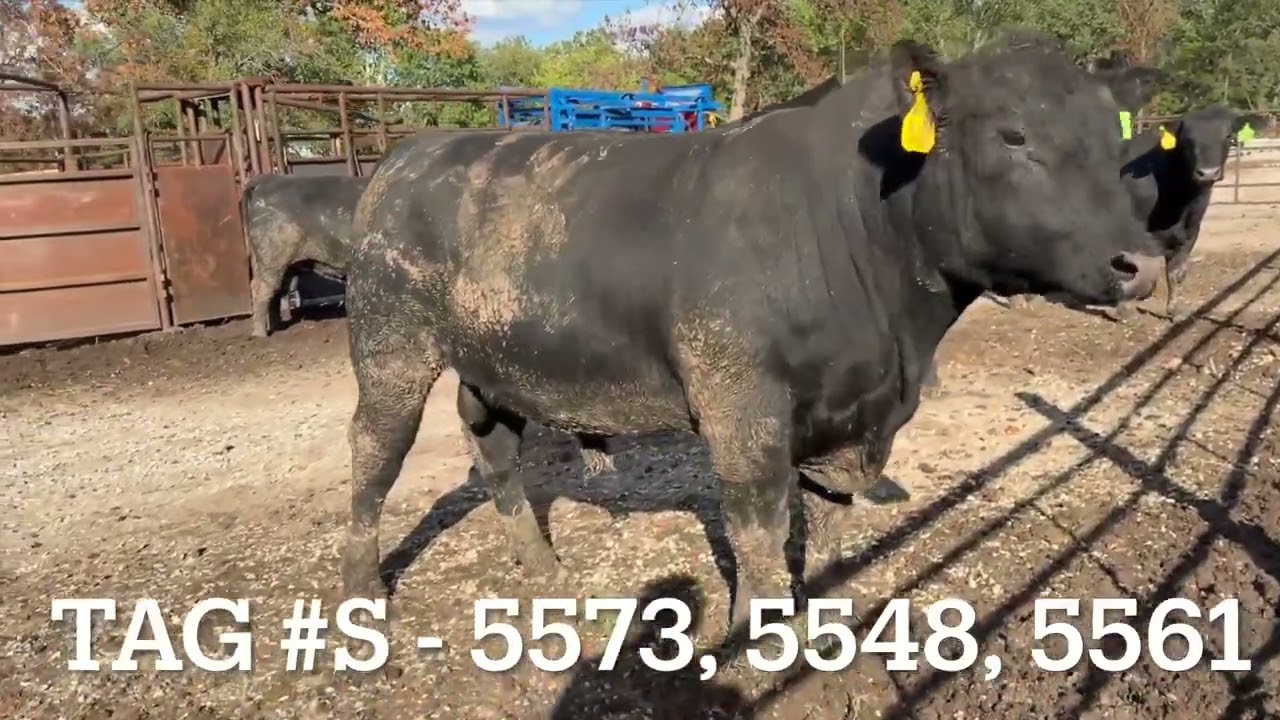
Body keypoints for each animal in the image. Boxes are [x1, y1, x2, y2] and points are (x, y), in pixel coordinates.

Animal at [243, 174, 370, 337]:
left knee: (276, 291)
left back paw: (278, 326)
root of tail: (267, 179)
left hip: (283, 266)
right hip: (272, 259)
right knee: (262, 289)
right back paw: (260, 335)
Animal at [340, 32, 1165, 657]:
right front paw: (759, 641)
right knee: (375, 450)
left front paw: (830, 623)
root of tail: (410, 152)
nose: (1143, 263)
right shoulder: (742, 403)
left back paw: (541, 567)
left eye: (1117, 145)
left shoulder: (859, 416)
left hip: (497, 360)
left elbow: (832, 517)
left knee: (495, 448)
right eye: (1014, 135)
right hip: (389, 341)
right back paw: (362, 592)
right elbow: (761, 526)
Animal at [1109, 106, 1272, 322]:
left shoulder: (1192, 229)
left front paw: (1174, 311)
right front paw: (1123, 309)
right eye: (1186, 140)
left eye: (1228, 136)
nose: (1208, 173)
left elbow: (1176, 272)